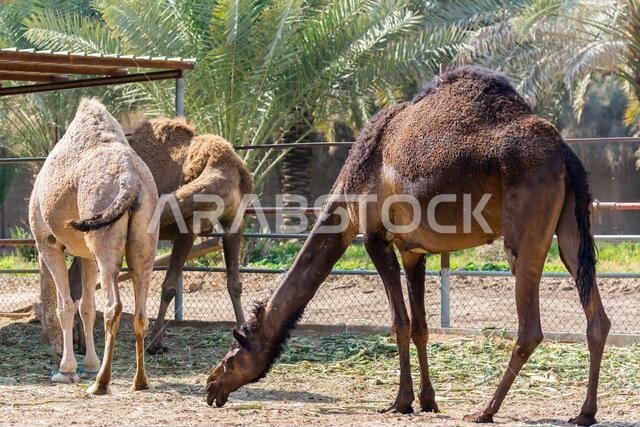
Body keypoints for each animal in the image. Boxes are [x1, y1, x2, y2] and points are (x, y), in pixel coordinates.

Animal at [29, 98, 159, 394]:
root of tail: (130, 179)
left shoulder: (48, 243)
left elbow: (65, 307)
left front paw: (67, 370)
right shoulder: (86, 255)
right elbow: (86, 308)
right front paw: (88, 365)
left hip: (102, 235)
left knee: (113, 307)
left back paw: (101, 383)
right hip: (144, 238)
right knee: (141, 310)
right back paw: (140, 381)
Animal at [204, 67, 610, 426]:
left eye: (235, 350)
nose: (210, 386)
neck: (349, 187)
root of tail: (566, 153)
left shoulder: (375, 237)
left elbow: (399, 323)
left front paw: (400, 402)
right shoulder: (412, 250)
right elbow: (420, 326)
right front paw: (428, 401)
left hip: (524, 232)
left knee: (530, 328)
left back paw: (484, 411)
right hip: (571, 228)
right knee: (596, 316)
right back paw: (584, 414)